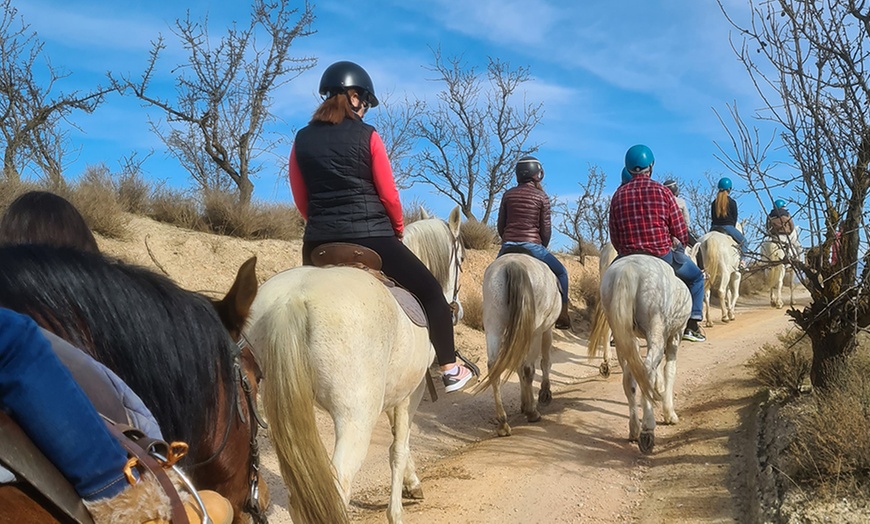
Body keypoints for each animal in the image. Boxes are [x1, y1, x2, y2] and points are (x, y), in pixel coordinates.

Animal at [247, 215, 464, 520]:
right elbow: (398, 448)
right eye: (462, 258)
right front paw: (396, 512)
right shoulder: (412, 391)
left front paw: (412, 484)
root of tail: (292, 299)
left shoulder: (392, 392)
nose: (459, 309)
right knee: (339, 487)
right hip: (356, 419)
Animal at [480, 252, 564, 436]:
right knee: (528, 368)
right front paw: (544, 393)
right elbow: (545, 362)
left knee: (494, 367)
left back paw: (503, 423)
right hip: (534, 332)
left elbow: (517, 367)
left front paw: (524, 403)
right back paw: (533, 412)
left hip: (494, 326)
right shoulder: (547, 331)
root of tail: (512, 264)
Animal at [588, 256, 692, 452]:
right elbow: (669, 370)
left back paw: (634, 429)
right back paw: (647, 429)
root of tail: (628, 268)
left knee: (631, 379)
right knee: (648, 370)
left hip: (623, 336)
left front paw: (659, 390)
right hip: (655, 330)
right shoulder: (675, 335)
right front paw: (669, 414)